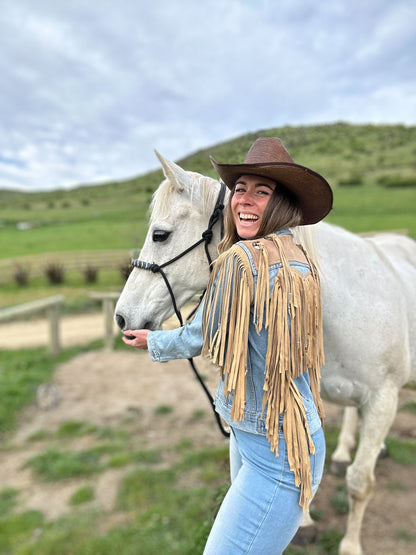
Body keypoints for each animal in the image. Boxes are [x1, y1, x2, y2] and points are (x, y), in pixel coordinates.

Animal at [115, 152, 416, 555]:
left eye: (159, 234)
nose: (122, 317)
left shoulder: (382, 398)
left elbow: (359, 483)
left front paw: (350, 545)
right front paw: (305, 524)